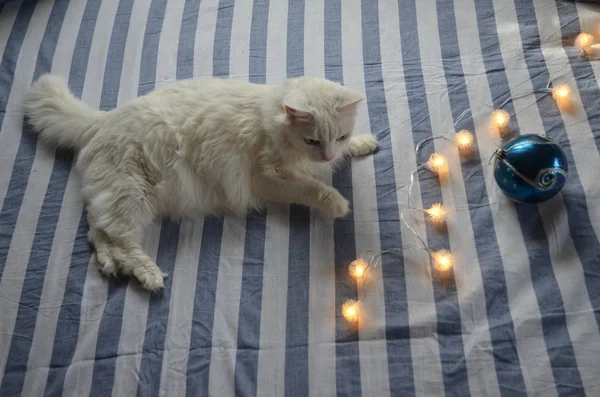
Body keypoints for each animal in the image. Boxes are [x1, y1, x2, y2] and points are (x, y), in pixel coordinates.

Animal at [25, 75, 378, 290]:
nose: (327, 157)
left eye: (339, 136)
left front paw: (363, 144)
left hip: (119, 199)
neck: (268, 118)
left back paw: (111, 266)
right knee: (117, 238)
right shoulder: (267, 179)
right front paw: (337, 203)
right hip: (131, 195)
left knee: (99, 235)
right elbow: (310, 188)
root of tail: (104, 118)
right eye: (311, 140)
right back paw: (149, 276)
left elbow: (343, 155)